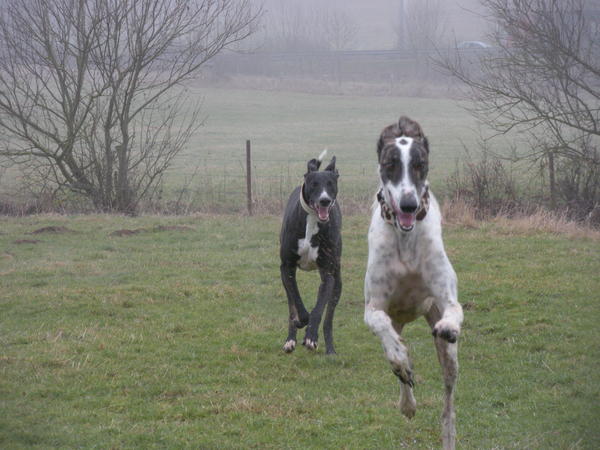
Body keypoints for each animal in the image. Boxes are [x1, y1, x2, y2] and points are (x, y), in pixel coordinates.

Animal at [360, 117, 464, 450]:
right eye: (390, 164)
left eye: (420, 164)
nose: (408, 205)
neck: (405, 238)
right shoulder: (374, 308)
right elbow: (384, 333)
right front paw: (401, 361)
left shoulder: (447, 297)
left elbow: (454, 310)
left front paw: (450, 326)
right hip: (397, 320)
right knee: (397, 360)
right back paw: (407, 399)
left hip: (448, 359)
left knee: (448, 402)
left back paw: (448, 432)